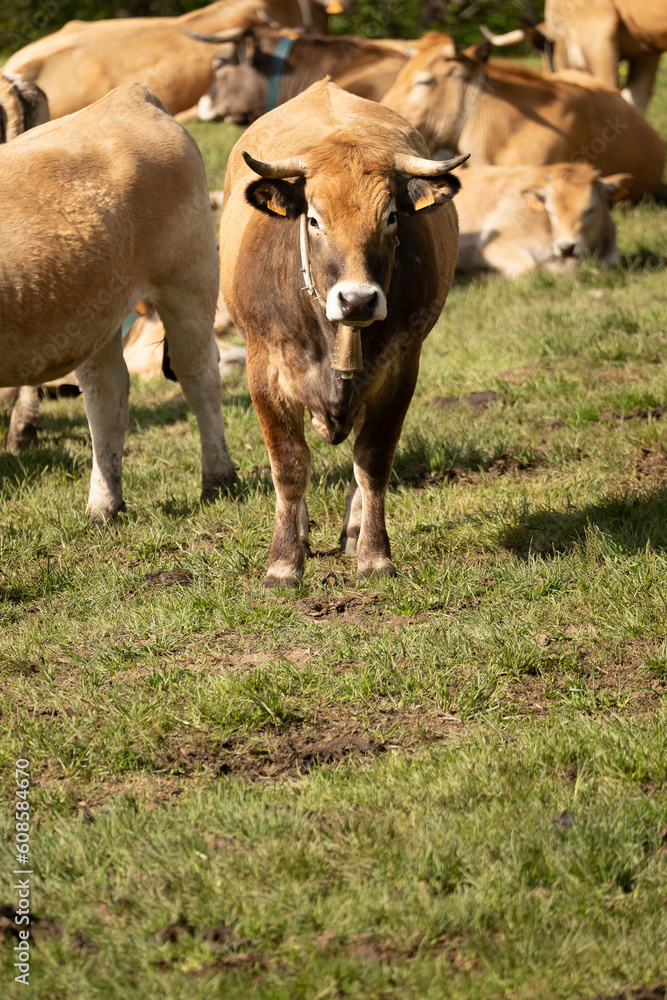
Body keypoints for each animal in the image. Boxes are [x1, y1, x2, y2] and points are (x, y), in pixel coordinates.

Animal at [0, 83, 236, 521]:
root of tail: (128, 96)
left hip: (188, 278)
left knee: (199, 377)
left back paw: (218, 478)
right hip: (95, 310)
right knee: (106, 394)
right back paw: (104, 505)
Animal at [218, 79, 466, 587]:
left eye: (391, 216)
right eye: (314, 219)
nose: (357, 300)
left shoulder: (400, 370)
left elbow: (372, 462)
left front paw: (373, 554)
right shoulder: (264, 371)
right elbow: (289, 466)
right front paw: (284, 561)